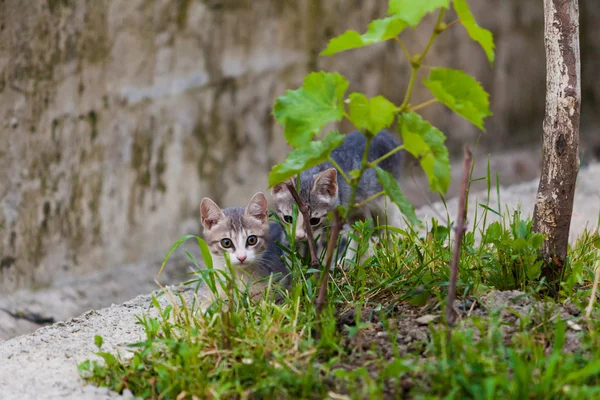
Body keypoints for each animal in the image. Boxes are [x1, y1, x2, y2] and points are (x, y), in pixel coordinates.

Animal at [270, 131, 404, 260]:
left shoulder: (335, 224)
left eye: (314, 221)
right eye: (288, 218)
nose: (299, 236)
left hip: (386, 194)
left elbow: (328, 250)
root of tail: (384, 134)